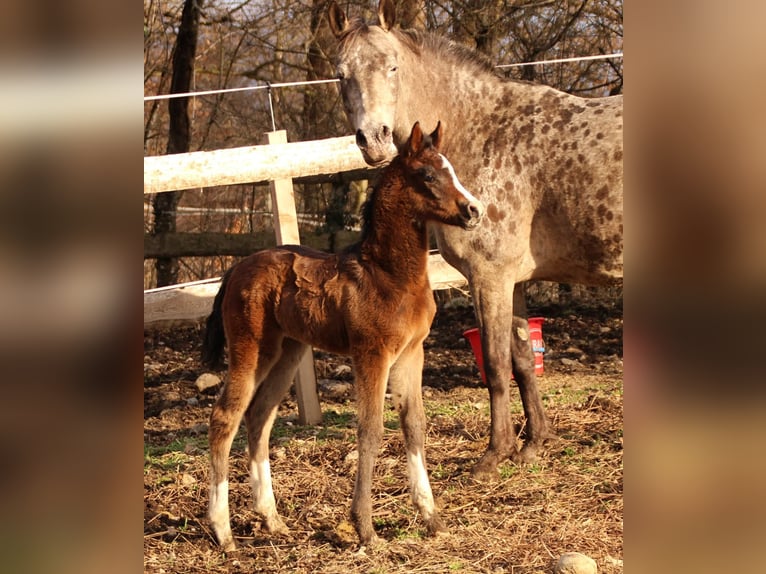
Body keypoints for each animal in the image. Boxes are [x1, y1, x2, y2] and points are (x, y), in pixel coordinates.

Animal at [201, 121, 485, 549]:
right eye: (428, 175)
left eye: (450, 169)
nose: (474, 210)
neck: (389, 275)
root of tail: (234, 269)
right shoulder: (372, 354)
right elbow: (370, 429)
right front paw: (364, 528)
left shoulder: (412, 353)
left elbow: (414, 425)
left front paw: (432, 519)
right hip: (251, 348)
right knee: (225, 418)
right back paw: (224, 533)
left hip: (287, 352)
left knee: (259, 416)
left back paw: (272, 519)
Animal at [328, 0, 623, 479]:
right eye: (341, 73)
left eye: (392, 66)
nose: (374, 140)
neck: (484, 130)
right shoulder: (514, 281)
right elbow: (522, 361)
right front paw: (533, 444)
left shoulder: (490, 277)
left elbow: (497, 365)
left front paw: (494, 454)